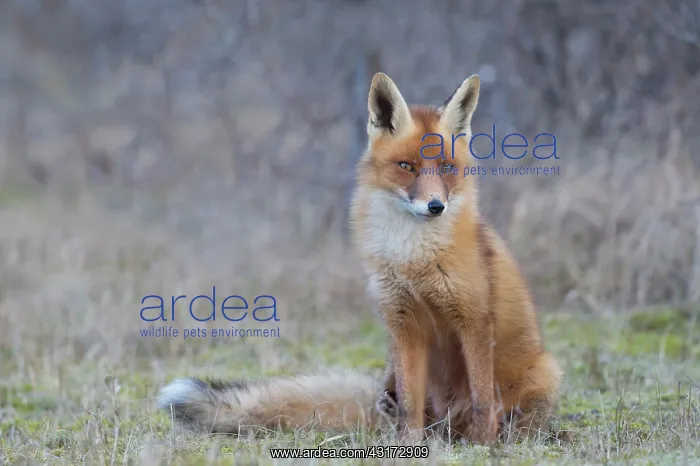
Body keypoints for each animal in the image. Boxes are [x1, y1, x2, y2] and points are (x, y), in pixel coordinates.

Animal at [157, 73, 562, 446]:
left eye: (447, 168)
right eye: (407, 166)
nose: (436, 206)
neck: (413, 259)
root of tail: (449, 428)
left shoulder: (474, 320)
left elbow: (482, 398)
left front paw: (484, 447)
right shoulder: (403, 324)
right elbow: (411, 403)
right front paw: (409, 446)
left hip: (545, 370)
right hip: (393, 371)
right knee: (397, 406)